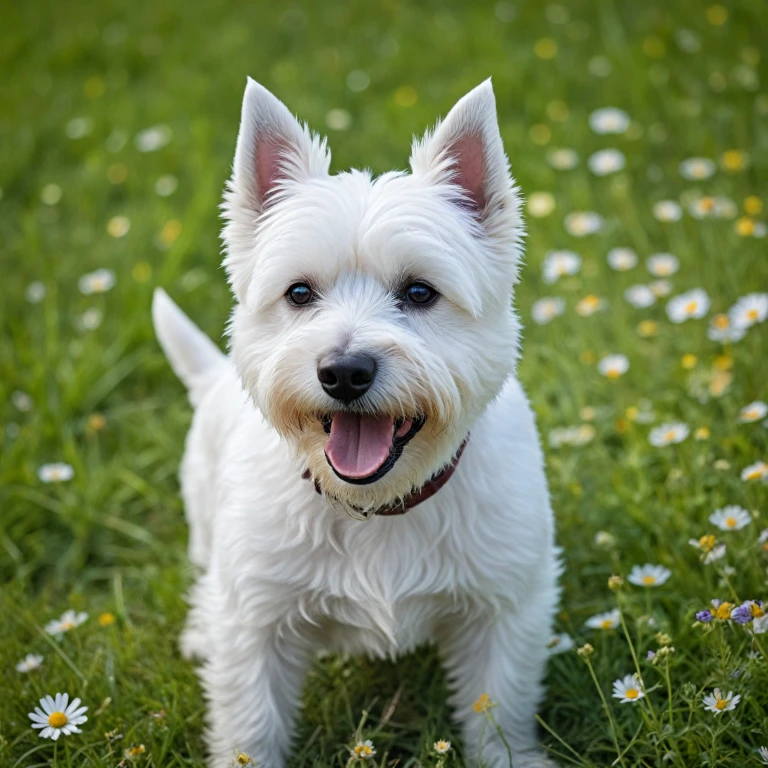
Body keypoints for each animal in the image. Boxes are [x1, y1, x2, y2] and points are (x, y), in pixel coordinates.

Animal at [152, 78, 560, 768]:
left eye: (420, 292)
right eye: (299, 293)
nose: (343, 372)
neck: (378, 506)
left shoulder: (505, 607)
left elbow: (497, 709)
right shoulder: (257, 622)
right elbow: (250, 725)